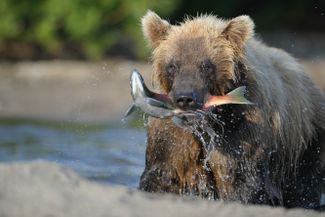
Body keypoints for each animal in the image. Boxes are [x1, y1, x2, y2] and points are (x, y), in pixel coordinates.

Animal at [137, 10, 324, 209]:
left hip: (304, 142)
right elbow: (163, 172)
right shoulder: (173, 135)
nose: (185, 98)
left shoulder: (242, 127)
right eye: (173, 65)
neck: (209, 121)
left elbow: (238, 178)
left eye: (206, 65)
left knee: (303, 185)